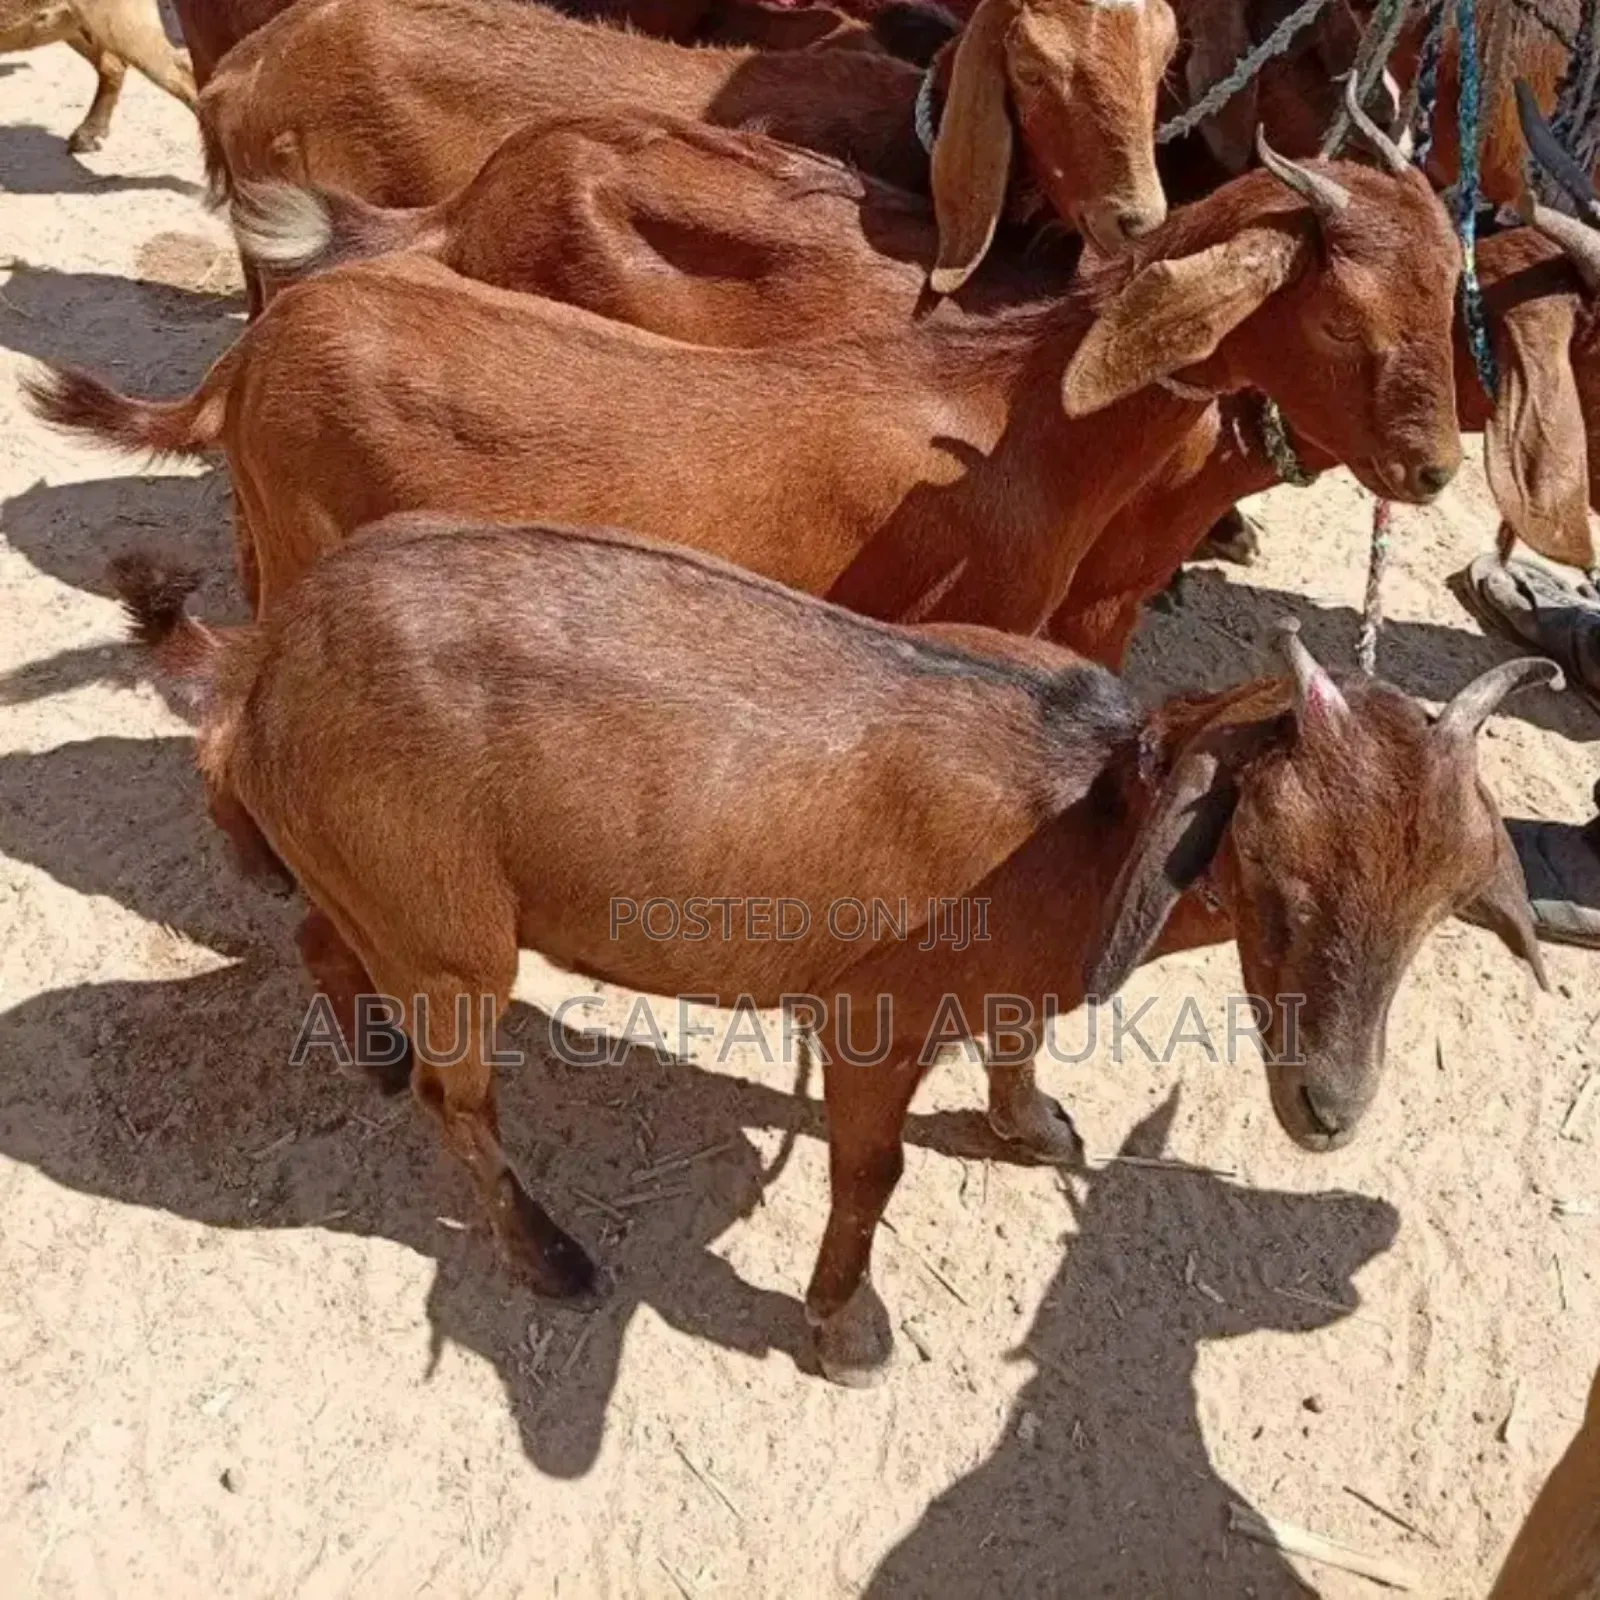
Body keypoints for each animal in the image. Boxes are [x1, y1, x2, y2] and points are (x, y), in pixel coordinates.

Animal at [113, 516, 1552, 1382]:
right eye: (1269, 870)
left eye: (1441, 908)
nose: (1327, 1108)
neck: (1085, 808)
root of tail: (258, 661)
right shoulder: (873, 1016)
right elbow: (870, 1171)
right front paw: (843, 1325)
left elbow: (1018, 1044)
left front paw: (1035, 1129)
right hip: (455, 931)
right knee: (456, 1096)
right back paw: (549, 1255)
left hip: (377, 882)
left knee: (323, 936)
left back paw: (367, 1047)